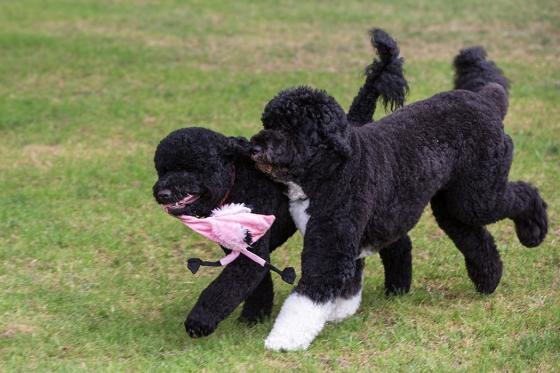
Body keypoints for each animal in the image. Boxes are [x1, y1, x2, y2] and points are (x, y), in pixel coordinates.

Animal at [252, 45, 548, 348]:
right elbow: (348, 281)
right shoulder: (346, 240)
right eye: (268, 122)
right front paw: (339, 312)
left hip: (479, 196)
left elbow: (307, 297)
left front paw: (283, 339)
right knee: (474, 236)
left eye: (291, 127)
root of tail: (487, 100)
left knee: (524, 194)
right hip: (452, 204)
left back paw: (533, 232)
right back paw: (488, 280)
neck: (334, 169)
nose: (256, 146)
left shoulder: (331, 244)